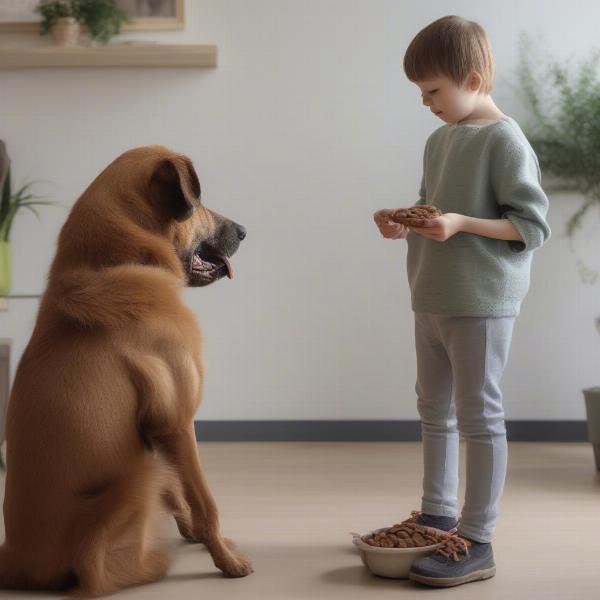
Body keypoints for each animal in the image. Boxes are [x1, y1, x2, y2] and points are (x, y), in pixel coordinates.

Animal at [0, 145, 251, 596]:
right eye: (200, 201)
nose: (243, 231)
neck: (118, 260)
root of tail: (17, 564)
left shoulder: (155, 432)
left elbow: (179, 494)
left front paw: (198, 537)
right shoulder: (177, 423)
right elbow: (205, 503)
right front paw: (226, 561)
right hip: (135, 478)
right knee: (93, 576)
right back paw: (151, 563)